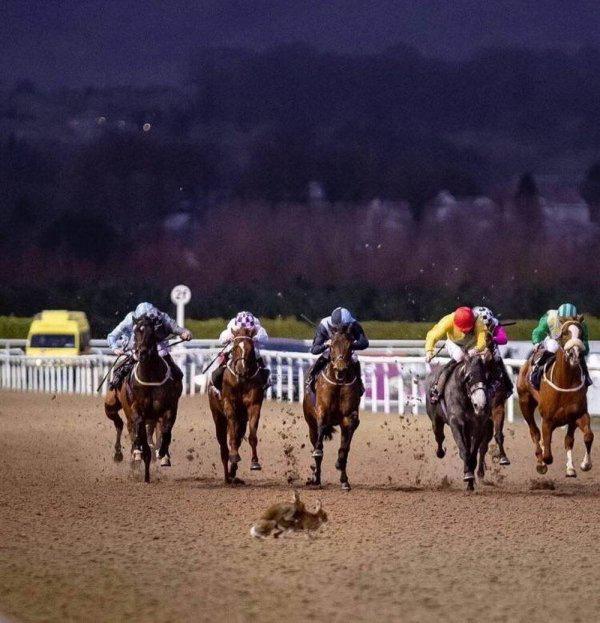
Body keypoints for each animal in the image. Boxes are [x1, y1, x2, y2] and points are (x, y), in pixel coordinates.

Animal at [104, 316, 183, 482]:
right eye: (135, 332)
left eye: (152, 332)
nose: (142, 353)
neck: (150, 376)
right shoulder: (137, 410)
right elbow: (140, 435)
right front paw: (141, 457)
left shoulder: (168, 408)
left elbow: (165, 432)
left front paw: (163, 455)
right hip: (111, 406)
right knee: (121, 425)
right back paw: (122, 455)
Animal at [211, 330, 268, 486]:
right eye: (235, 346)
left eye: (250, 347)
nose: (242, 369)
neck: (241, 381)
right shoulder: (229, 403)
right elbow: (231, 434)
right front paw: (234, 456)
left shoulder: (254, 405)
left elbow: (252, 435)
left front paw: (255, 462)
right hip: (218, 417)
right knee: (223, 446)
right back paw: (227, 476)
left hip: (242, 420)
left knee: (238, 437)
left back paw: (232, 472)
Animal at [304, 326, 360, 492]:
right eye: (332, 345)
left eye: (350, 346)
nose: (340, 368)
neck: (338, 381)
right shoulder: (322, 411)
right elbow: (321, 433)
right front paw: (317, 455)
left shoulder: (348, 417)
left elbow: (344, 449)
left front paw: (343, 476)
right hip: (310, 424)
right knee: (316, 442)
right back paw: (316, 477)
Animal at [422, 352, 492, 488]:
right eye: (469, 377)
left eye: (486, 377)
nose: (480, 405)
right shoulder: (456, 423)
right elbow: (464, 450)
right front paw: (468, 475)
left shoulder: (478, 425)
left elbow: (473, 453)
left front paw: (470, 480)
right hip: (435, 420)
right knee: (439, 437)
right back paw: (440, 452)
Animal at [512, 316, 592, 478]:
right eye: (565, 333)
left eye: (581, 334)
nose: (575, 354)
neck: (565, 383)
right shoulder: (548, 420)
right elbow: (548, 455)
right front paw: (542, 460)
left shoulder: (578, 415)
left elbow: (586, 436)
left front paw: (584, 464)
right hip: (525, 403)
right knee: (534, 433)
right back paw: (540, 460)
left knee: (568, 439)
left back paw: (570, 468)